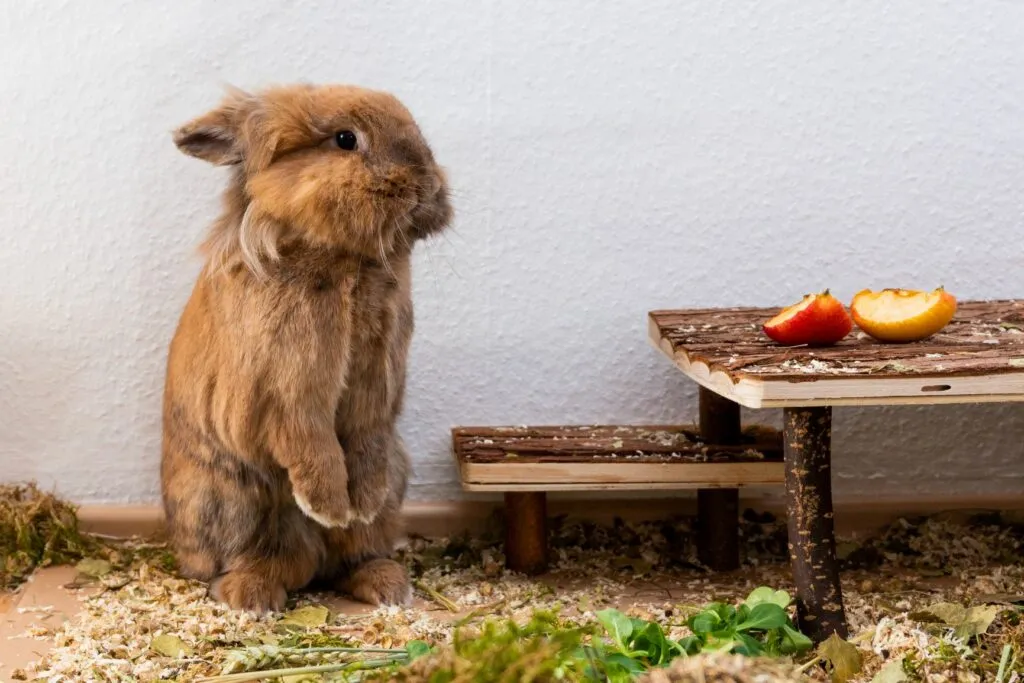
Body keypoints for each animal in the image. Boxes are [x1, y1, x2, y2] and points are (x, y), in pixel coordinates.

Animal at [160, 83, 452, 614]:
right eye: (345, 139)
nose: (428, 186)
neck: (345, 262)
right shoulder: (286, 387)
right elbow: (309, 439)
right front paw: (331, 505)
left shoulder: (377, 384)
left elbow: (366, 437)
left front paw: (361, 501)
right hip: (232, 501)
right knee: (252, 561)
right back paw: (251, 595)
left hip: (393, 483)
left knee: (352, 551)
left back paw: (386, 583)